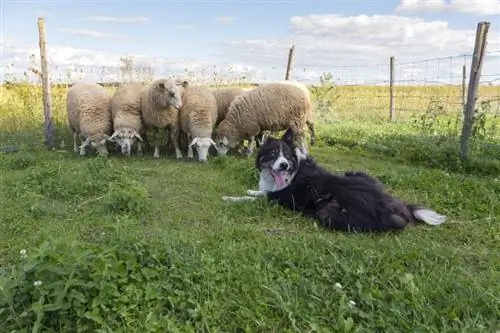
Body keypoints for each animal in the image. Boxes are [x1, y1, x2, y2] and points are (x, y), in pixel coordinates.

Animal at [221, 127, 448, 231]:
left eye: (286, 155)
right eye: (273, 154)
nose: (284, 165)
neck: (293, 173)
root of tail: (391, 203)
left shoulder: (280, 200)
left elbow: (254, 198)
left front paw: (230, 198)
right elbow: (260, 191)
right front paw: (252, 189)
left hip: (328, 213)